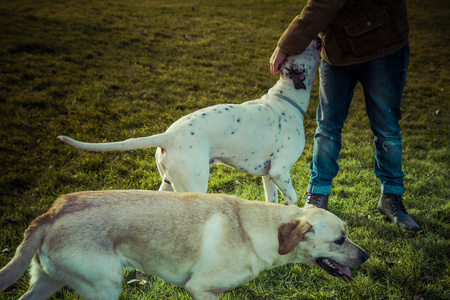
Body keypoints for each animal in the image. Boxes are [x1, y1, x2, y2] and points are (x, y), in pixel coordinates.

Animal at [0, 191, 370, 298]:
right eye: (340, 240)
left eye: (347, 234)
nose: (367, 256)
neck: (256, 230)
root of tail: (50, 213)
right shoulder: (202, 290)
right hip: (105, 287)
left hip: (49, 281)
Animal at [58, 38, 322, 205]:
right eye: (306, 47)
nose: (319, 37)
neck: (286, 98)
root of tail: (168, 135)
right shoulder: (280, 172)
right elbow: (292, 199)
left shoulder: (267, 176)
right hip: (195, 186)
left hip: (168, 184)